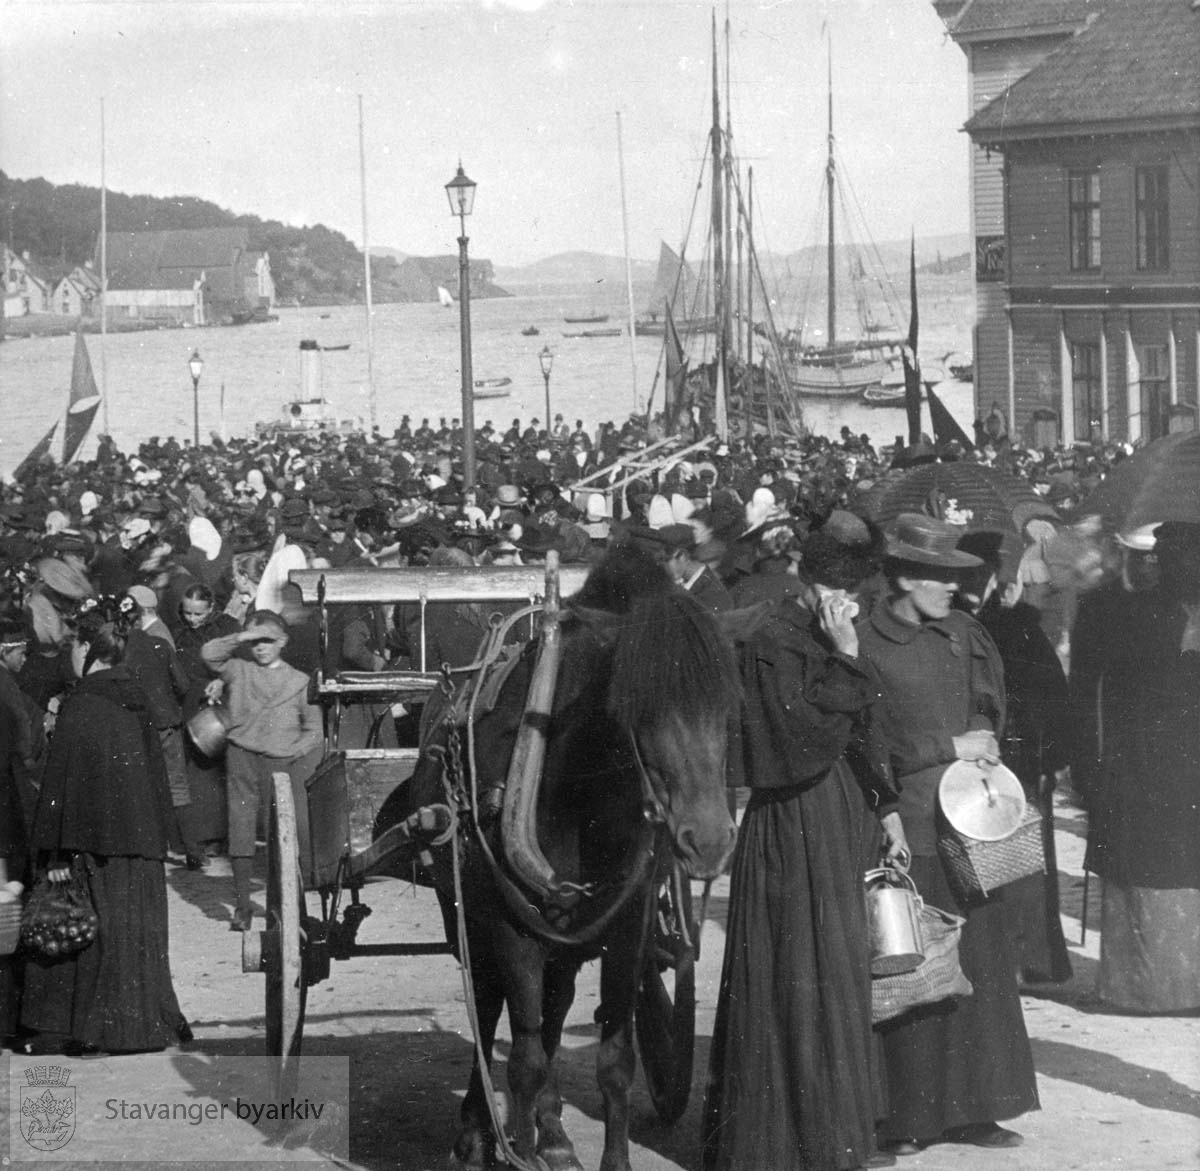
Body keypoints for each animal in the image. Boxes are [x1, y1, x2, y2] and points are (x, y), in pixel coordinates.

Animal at [391, 547, 739, 1171]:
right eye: (636, 708)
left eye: (726, 705)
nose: (708, 840)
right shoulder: (511, 931)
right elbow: (523, 1062)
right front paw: (510, 1145)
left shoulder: (626, 930)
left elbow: (614, 1061)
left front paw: (600, 1154)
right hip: (465, 914)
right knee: (490, 1006)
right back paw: (476, 1132)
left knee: (552, 1015)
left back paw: (551, 1133)